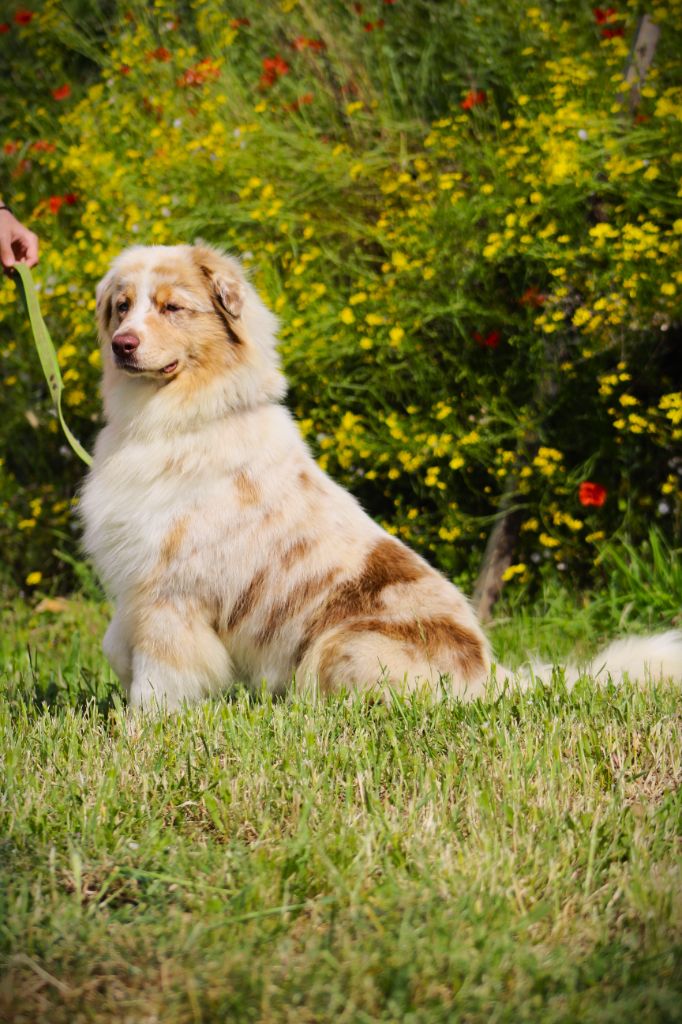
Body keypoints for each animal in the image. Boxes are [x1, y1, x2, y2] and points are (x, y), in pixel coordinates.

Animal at [80, 243, 679, 708]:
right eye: (122, 306)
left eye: (172, 307)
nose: (122, 344)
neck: (177, 419)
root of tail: (493, 677)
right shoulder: (138, 582)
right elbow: (115, 642)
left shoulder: (172, 590)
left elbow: (158, 678)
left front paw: (139, 732)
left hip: (340, 643)